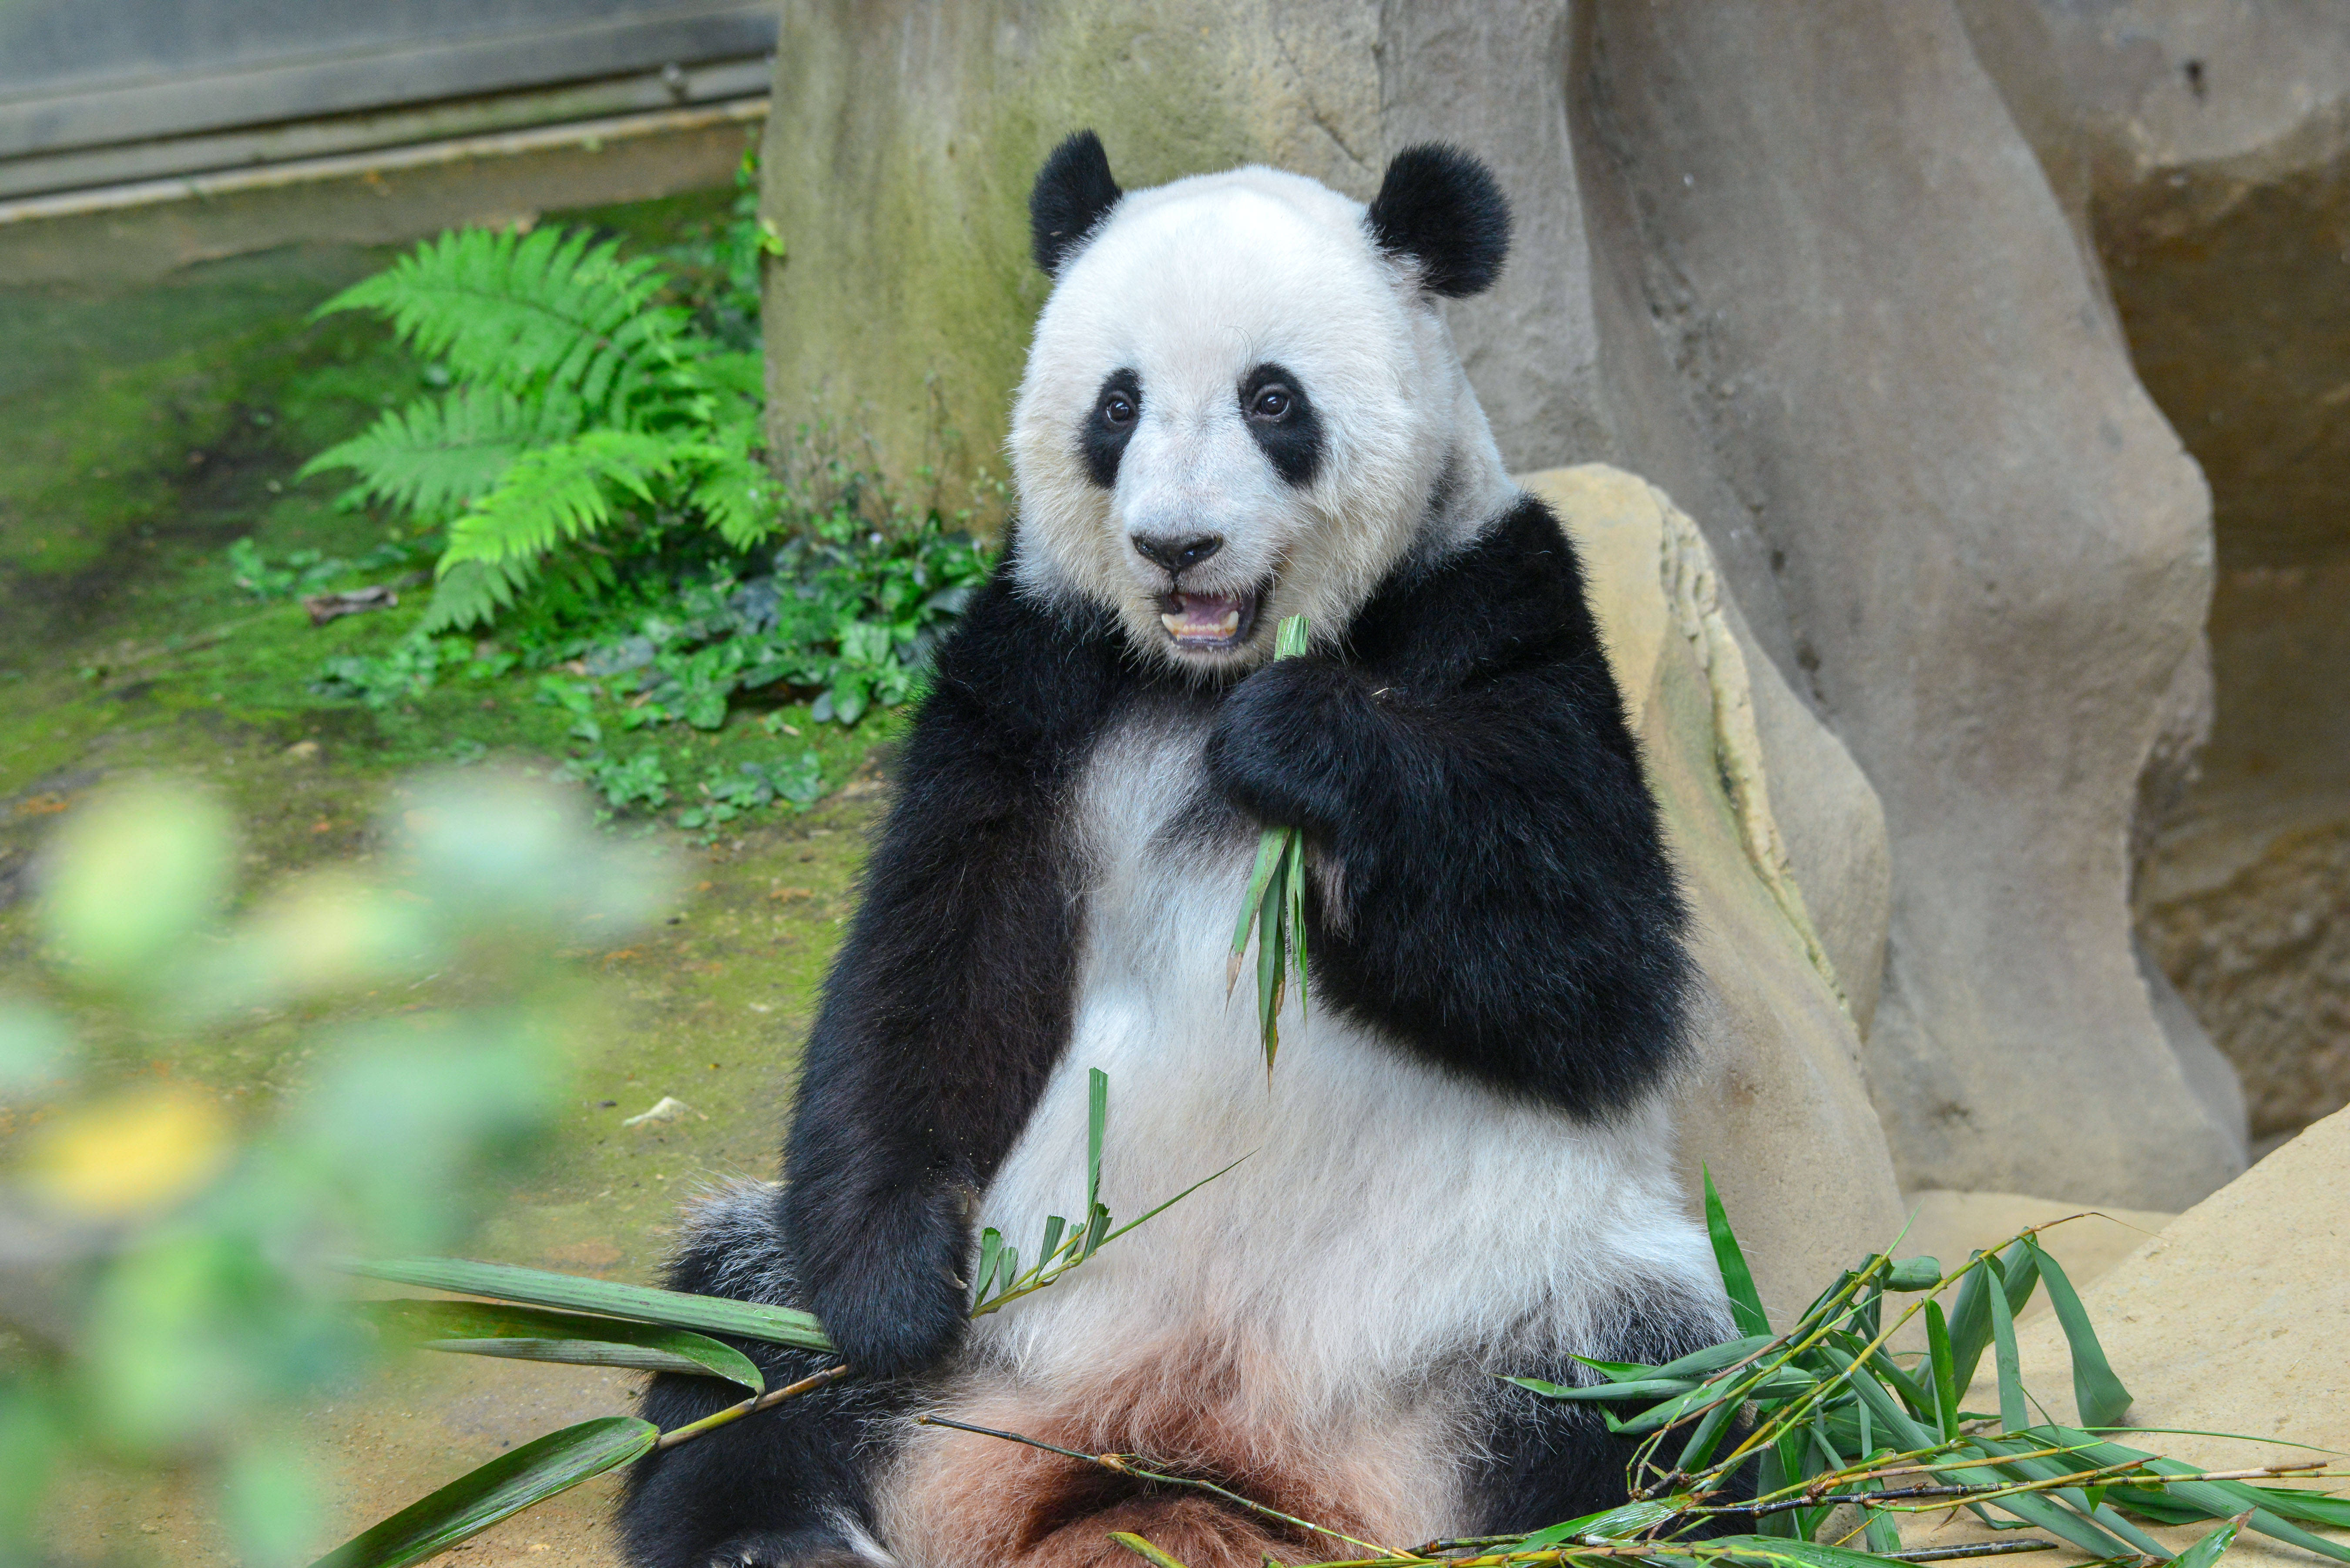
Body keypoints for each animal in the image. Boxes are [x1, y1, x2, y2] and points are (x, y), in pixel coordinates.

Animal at [625, 131, 1748, 1568]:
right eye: (1118, 404)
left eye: (1274, 400)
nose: (1176, 544)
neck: (1198, 675)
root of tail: (1197, 1439)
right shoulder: (1034, 675)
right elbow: (939, 960)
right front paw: (890, 1288)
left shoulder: (1501, 608)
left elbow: (1597, 975)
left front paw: (1303, 746)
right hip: (992, 1343)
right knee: (736, 1341)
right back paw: (778, 1528)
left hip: (1521, 1305)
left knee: (1661, 1405)